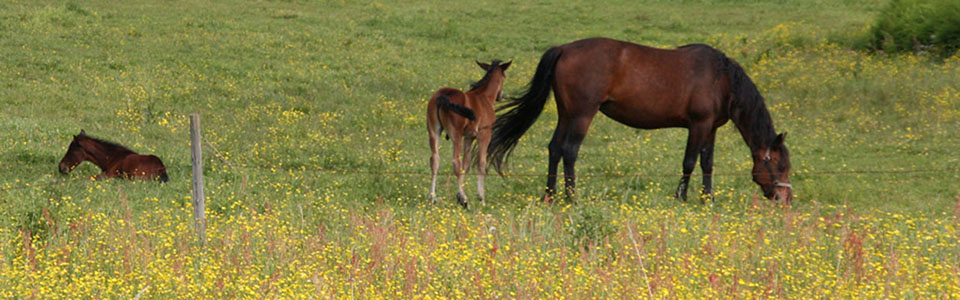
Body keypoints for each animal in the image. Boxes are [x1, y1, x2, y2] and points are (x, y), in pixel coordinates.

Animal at [430, 59, 512, 207]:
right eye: (504, 77)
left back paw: (432, 198)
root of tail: (444, 95)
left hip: (433, 130)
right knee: (455, 161)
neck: (484, 96)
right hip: (456, 134)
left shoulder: (468, 137)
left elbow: (466, 164)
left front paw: (459, 194)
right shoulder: (484, 134)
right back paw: (465, 200)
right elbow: (481, 163)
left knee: (435, 159)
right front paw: (481, 198)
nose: (500, 96)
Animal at [492, 38, 792, 204]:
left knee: (554, 148)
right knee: (569, 151)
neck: (722, 79)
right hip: (581, 114)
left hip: (566, 113)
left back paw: (551, 195)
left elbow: (707, 163)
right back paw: (571, 197)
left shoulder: (711, 128)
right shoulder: (698, 125)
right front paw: (682, 197)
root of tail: (564, 49)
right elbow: (689, 162)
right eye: (780, 165)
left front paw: (708, 199)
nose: (785, 199)